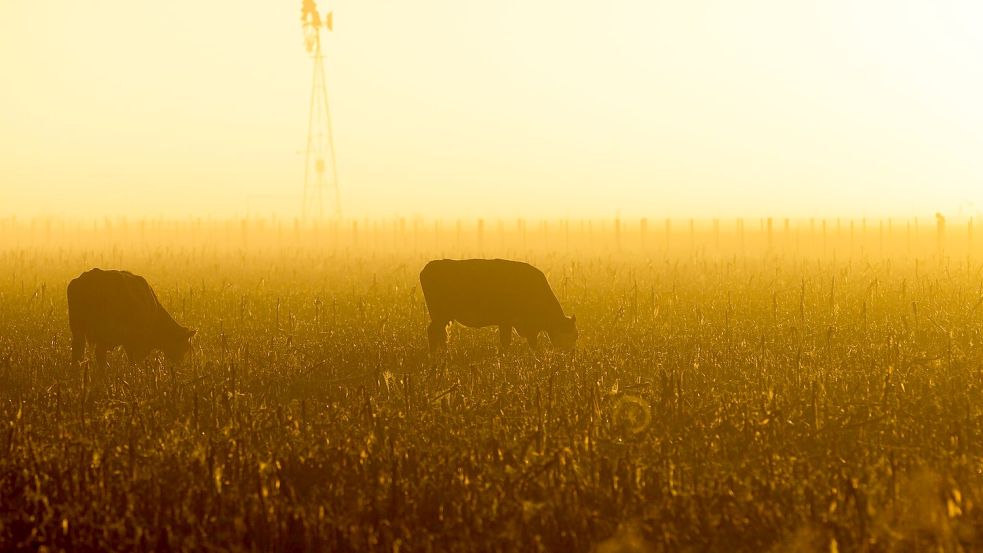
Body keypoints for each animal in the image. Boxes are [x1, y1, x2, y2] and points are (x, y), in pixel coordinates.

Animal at [67, 268, 196, 364]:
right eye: (185, 347)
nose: (179, 364)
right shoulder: (138, 342)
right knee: (98, 354)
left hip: (78, 330)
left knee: (78, 353)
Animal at [420, 258, 576, 350]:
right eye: (573, 335)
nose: (570, 354)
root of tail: (428, 267)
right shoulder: (506, 321)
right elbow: (506, 342)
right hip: (440, 315)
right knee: (434, 332)